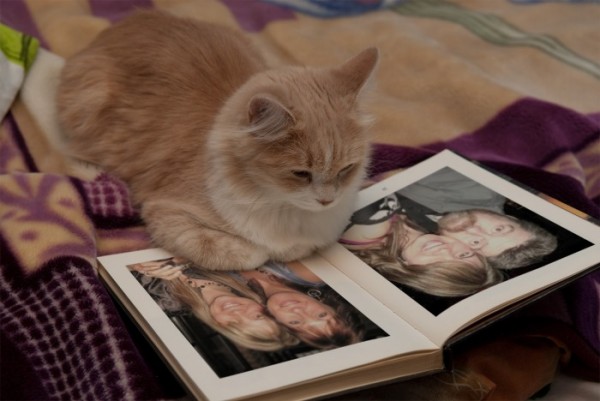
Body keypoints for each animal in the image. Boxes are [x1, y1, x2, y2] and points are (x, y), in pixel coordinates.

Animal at [57, 10, 378, 271]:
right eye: (301, 173)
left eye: (346, 169)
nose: (327, 200)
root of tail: (128, 21)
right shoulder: (166, 211)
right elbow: (240, 252)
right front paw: (262, 252)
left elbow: (300, 247)